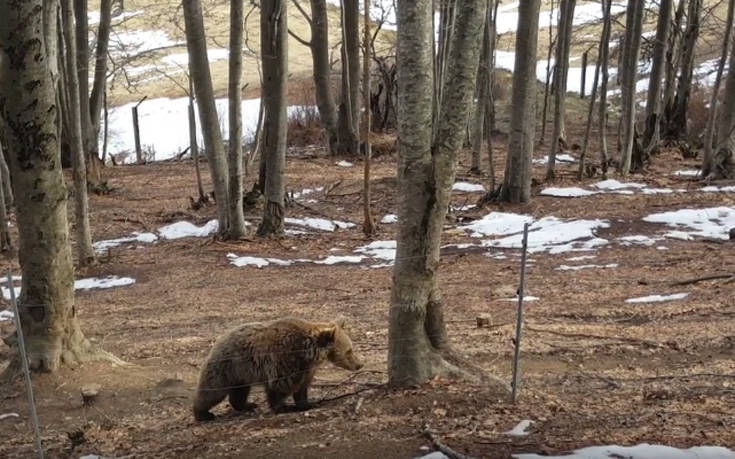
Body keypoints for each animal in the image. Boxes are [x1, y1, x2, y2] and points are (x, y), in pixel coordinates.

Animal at [190, 318, 362, 422]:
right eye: (349, 351)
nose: (359, 364)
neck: (307, 353)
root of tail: (218, 340)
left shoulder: (305, 370)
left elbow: (301, 389)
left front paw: (307, 404)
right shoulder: (283, 360)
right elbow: (280, 386)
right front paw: (284, 407)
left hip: (241, 375)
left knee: (239, 392)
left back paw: (247, 405)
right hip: (227, 367)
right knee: (213, 391)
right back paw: (203, 414)